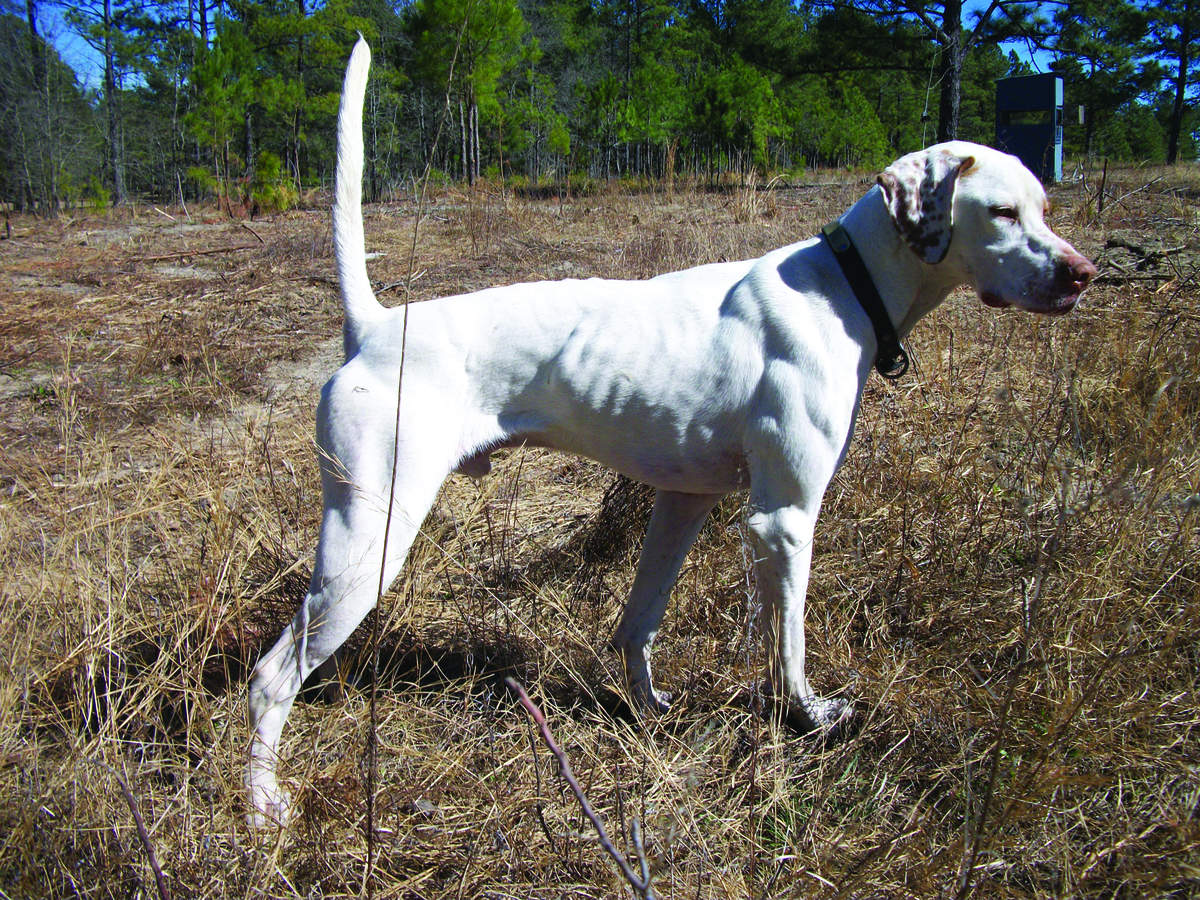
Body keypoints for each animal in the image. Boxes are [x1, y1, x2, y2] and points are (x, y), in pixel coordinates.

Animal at [246, 38, 1099, 825]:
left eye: (1045, 209)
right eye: (1002, 212)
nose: (1083, 274)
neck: (842, 285)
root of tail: (373, 327)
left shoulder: (683, 504)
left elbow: (638, 624)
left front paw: (649, 712)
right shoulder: (783, 521)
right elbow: (785, 645)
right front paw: (807, 718)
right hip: (371, 538)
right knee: (269, 678)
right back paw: (262, 807)